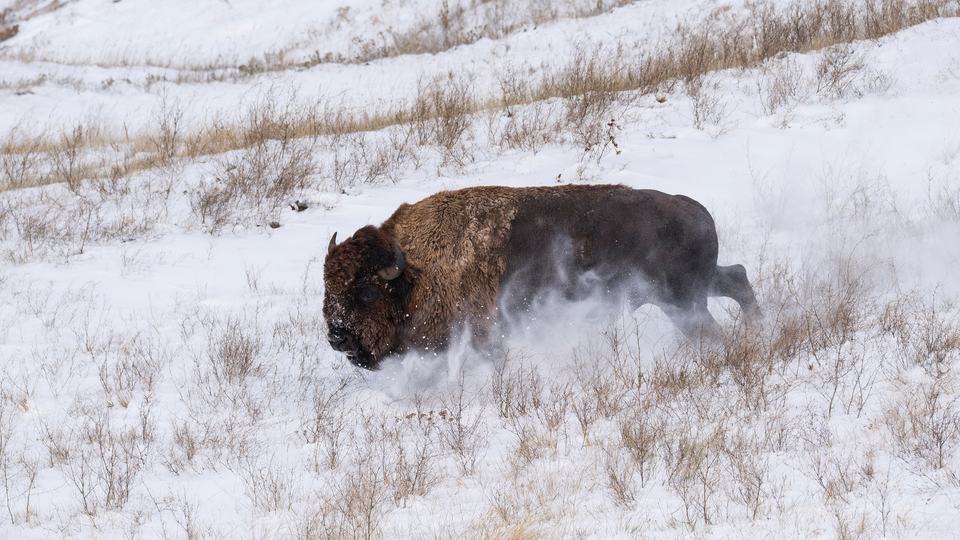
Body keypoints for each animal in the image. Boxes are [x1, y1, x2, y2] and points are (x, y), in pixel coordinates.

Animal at [323, 184, 759, 369]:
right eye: (327, 288)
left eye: (366, 292)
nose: (336, 336)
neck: (415, 271)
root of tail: (695, 210)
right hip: (693, 288)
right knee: (737, 278)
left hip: (682, 300)